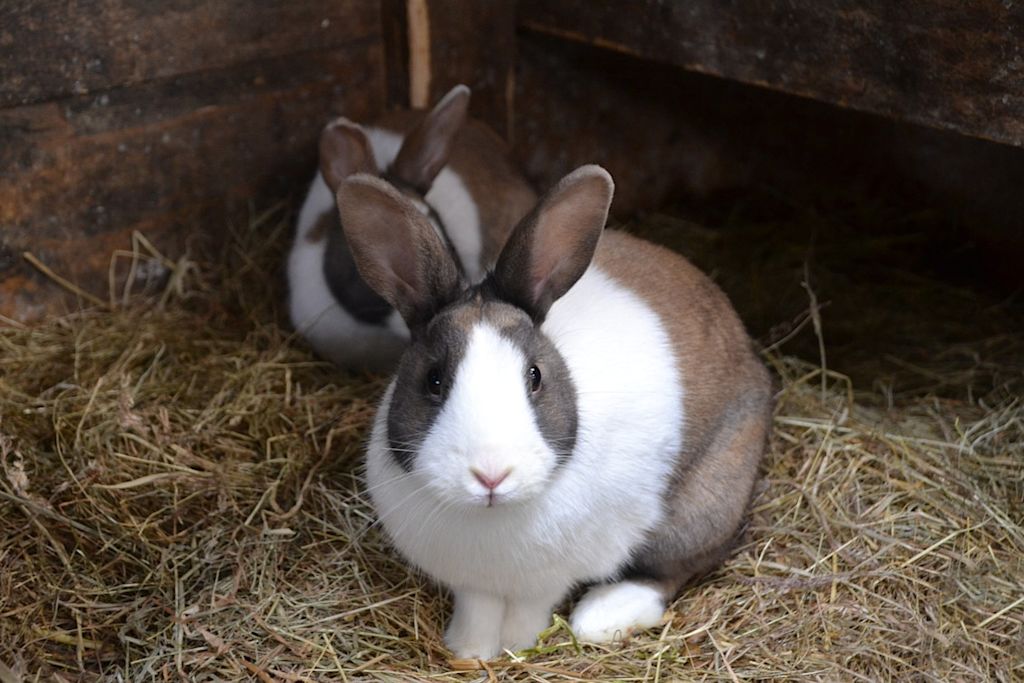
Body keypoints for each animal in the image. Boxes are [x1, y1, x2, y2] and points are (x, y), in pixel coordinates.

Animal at [334, 165, 773, 659]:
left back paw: (600, 617)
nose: (491, 475)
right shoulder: (473, 585)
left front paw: (517, 647)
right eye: (433, 380)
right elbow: (478, 609)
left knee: (671, 570)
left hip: (705, 506)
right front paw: (469, 652)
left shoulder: (548, 581)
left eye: (535, 376)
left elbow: (531, 609)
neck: (492, 516)